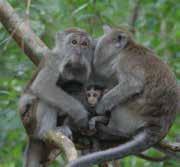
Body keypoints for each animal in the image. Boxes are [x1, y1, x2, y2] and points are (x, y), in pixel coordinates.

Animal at [19, 28, 93, 167]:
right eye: (74, 42)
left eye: (84, 44)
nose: (79, 51)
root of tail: (29, 134)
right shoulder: (54, 61)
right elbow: (43, 86)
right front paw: (80, 112)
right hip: (31, 120)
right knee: (44, 99)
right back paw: (48, 130)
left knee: (75, 88)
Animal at [68, 25, 179, 166]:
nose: (95, 41)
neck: (125, 50)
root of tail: (158, 128)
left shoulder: (125, 63)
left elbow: (132, 84)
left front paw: (100, 107)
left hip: (131, 114)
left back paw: (106, 128)